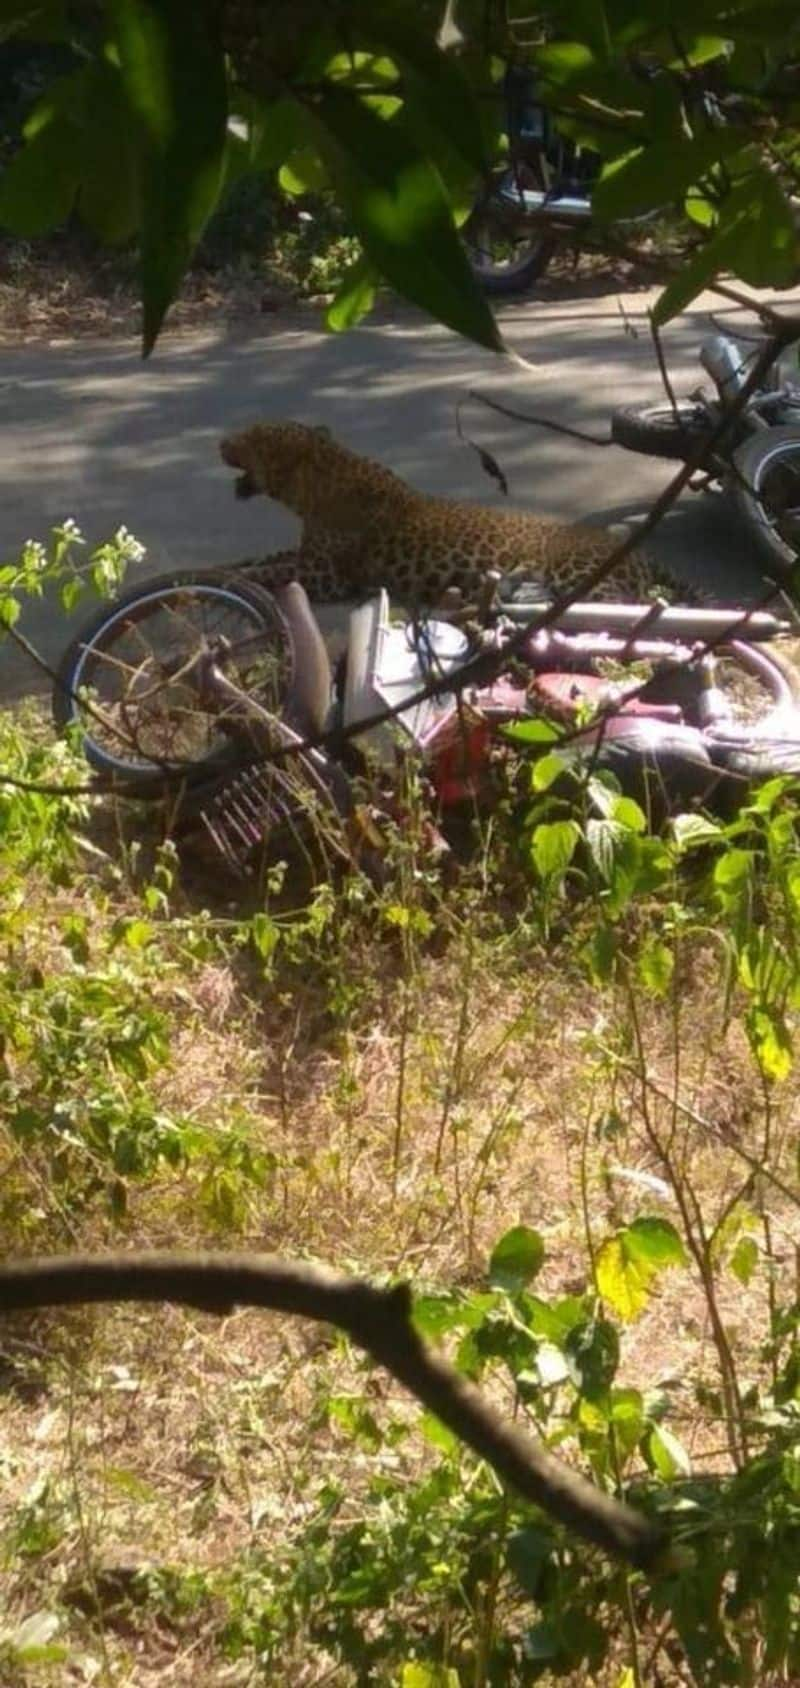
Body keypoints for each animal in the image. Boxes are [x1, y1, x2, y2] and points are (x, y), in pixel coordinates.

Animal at [219, 420, 688, 607]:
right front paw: (230, 567)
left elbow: (269, 572)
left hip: (581, 573)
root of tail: (639, 550)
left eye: (251, 437)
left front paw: (225, 578)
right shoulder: (306, 556)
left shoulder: (326, 577)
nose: (220, 442)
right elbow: (266, 559)